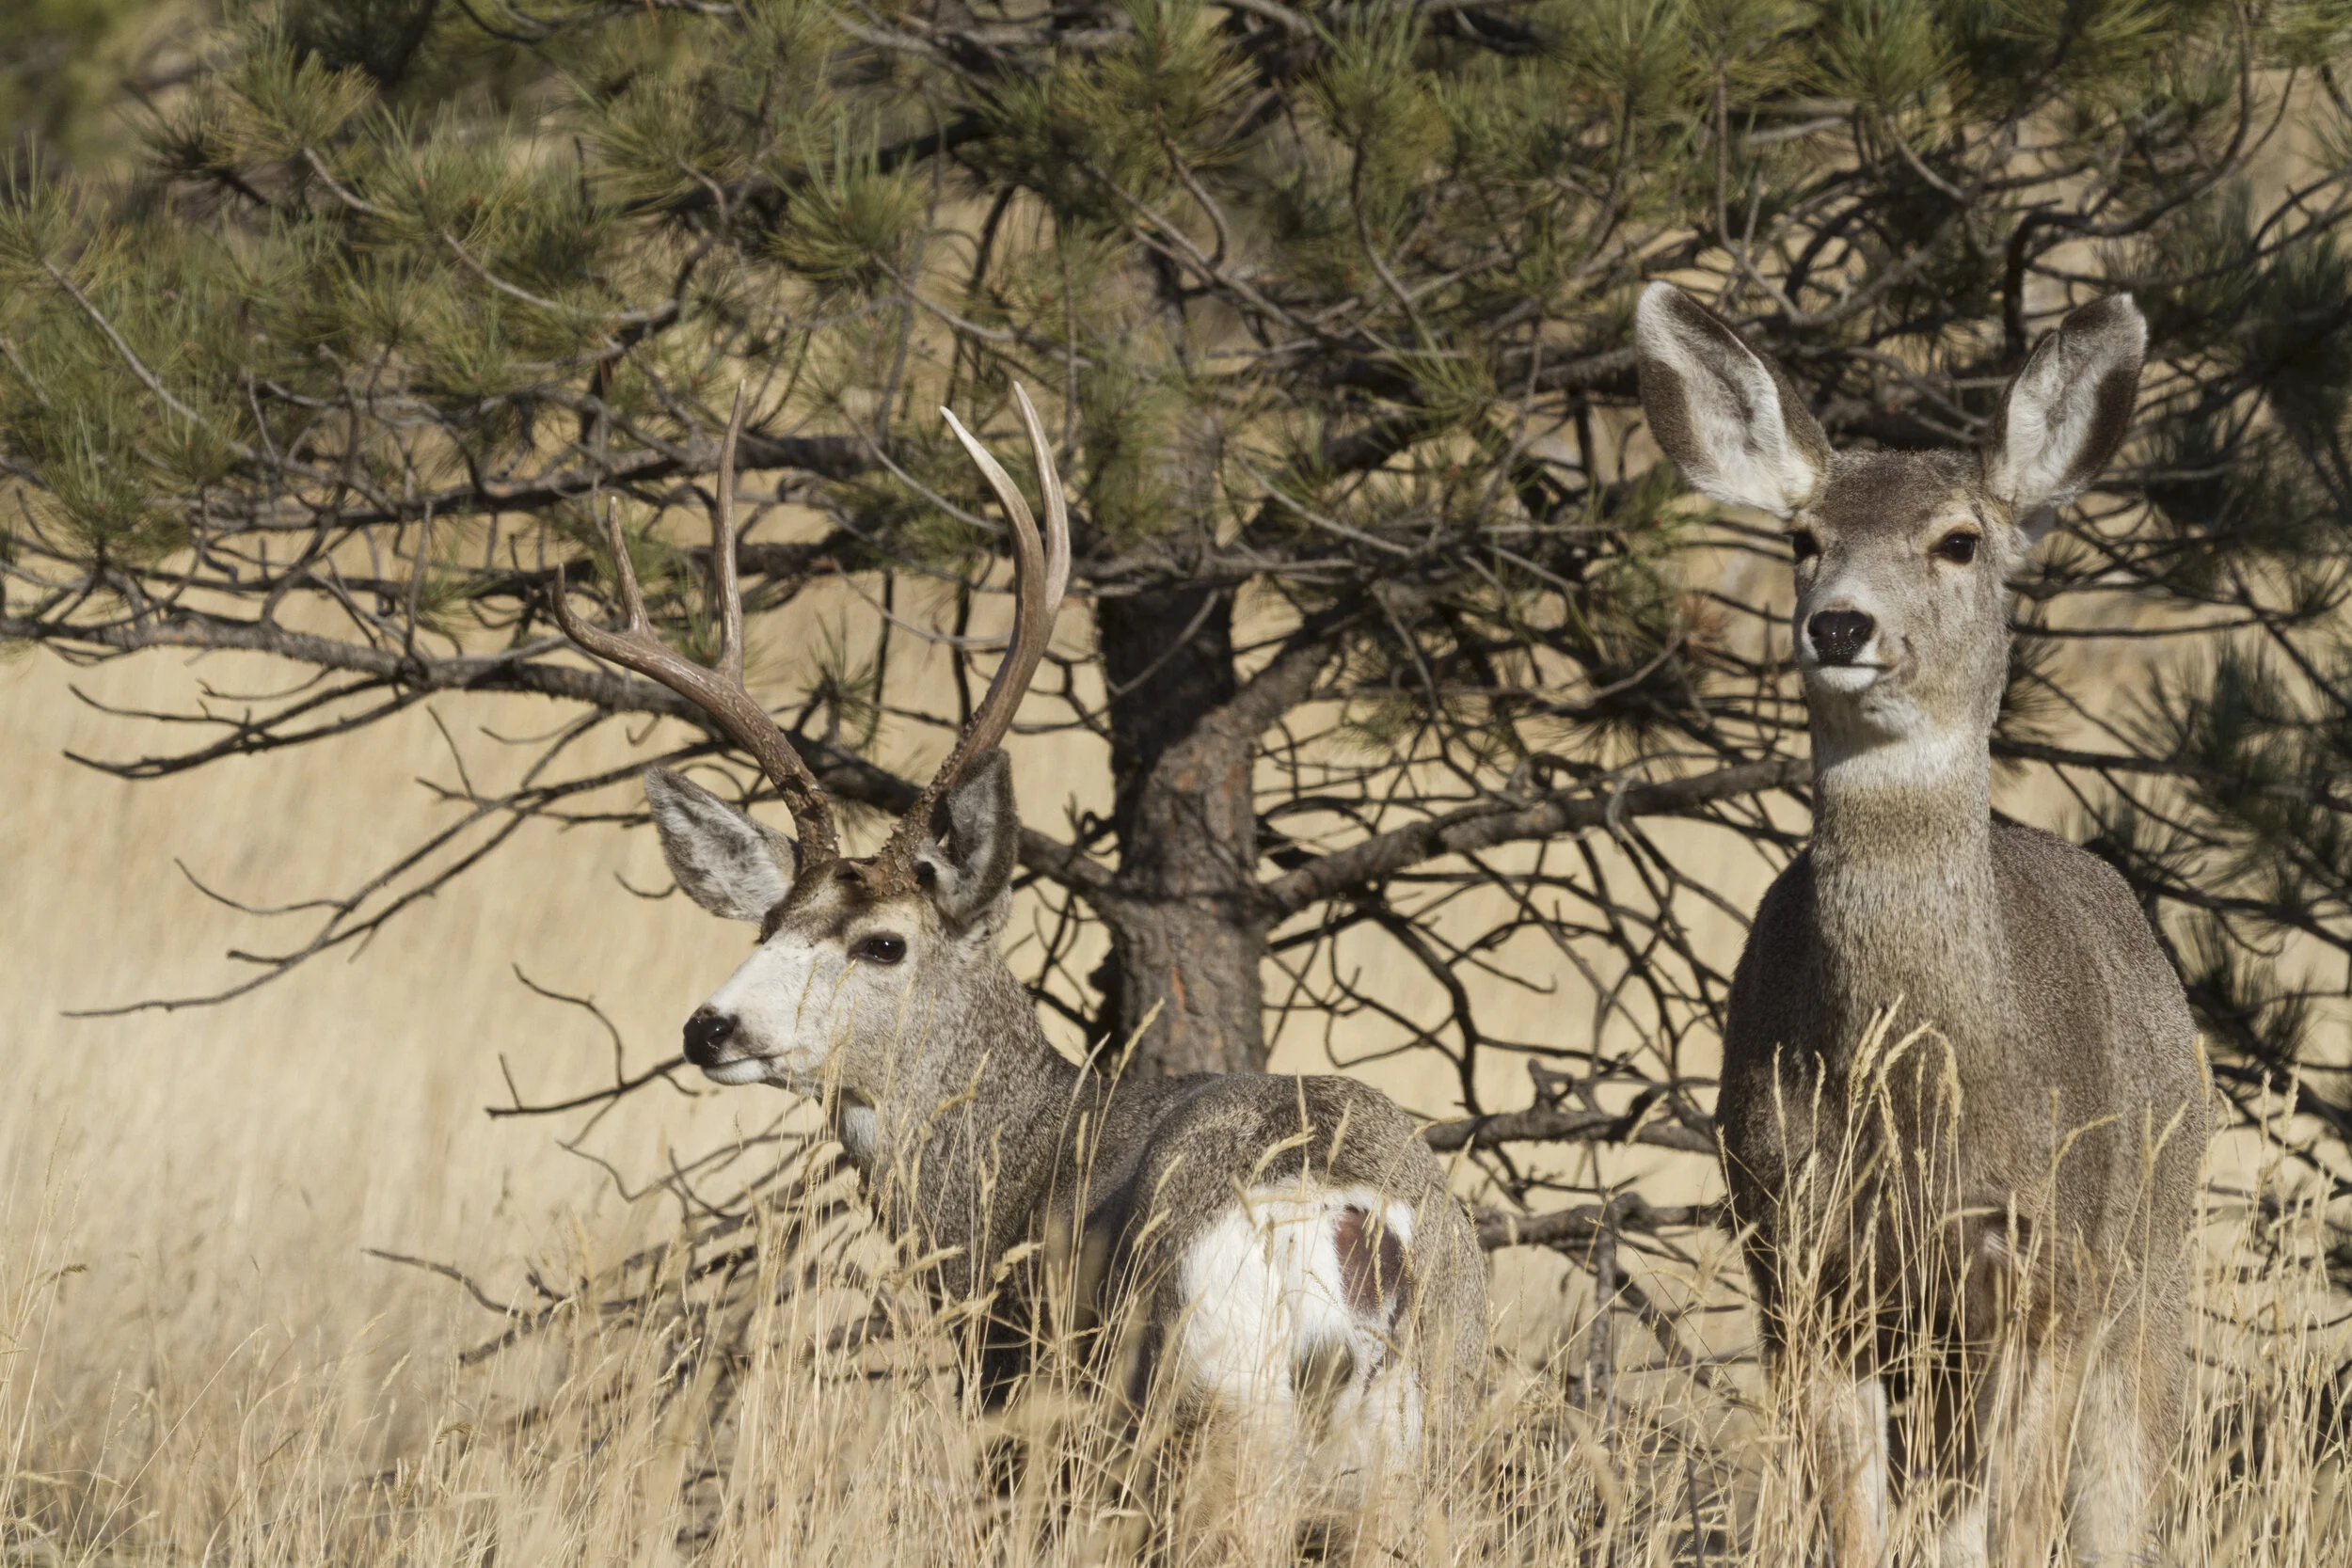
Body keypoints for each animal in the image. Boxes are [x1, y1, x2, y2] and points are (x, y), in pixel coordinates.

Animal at [550, 384, 1487, 1513]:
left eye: (883, 943)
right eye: (768, 925)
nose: (709, 1026)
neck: (1004, 1169)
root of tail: (1351, 1224)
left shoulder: (1018, 1401)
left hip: (1197, 1407)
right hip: (1428, 1446)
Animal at [1635, 285, 2210, 1566]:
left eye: (1958, 540)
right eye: (1802, 540)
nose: (1839, 625)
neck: (1922, 1104)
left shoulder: (2053, 1261)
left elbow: (2029, 1521)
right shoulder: (1798, 1264)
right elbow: (1859, 1525)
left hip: (2149, 1265)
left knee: (2114, 1499)